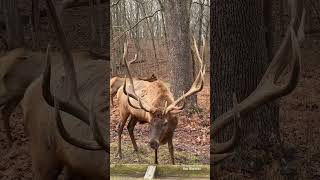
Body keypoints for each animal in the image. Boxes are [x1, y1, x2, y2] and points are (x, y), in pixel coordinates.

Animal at [116, 37, 206, 165]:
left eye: (165, 123)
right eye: (149, 123)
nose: (152, 143)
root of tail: (119, 89)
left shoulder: (172, 130)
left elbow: (171, 149)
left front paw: (173, 163)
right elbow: (157, 152)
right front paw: (156, 162)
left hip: (135, 114)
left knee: (130, 127)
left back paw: (136, 148)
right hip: (123, 109)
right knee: (119, 127)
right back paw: (119, 153)